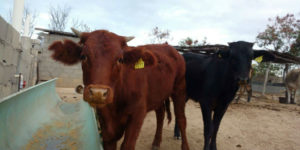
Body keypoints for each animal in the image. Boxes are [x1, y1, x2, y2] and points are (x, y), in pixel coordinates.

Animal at [49, 28, 190, 150]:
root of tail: (171, 48)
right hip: (158, 95)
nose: (98, 93)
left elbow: (127, 145)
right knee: (160, 114)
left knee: (181, 119)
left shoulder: (138, 113)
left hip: (180, 89)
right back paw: (156, 142)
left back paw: (185, 146)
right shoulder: (105, 124)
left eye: (120, 59)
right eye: (83, 56)